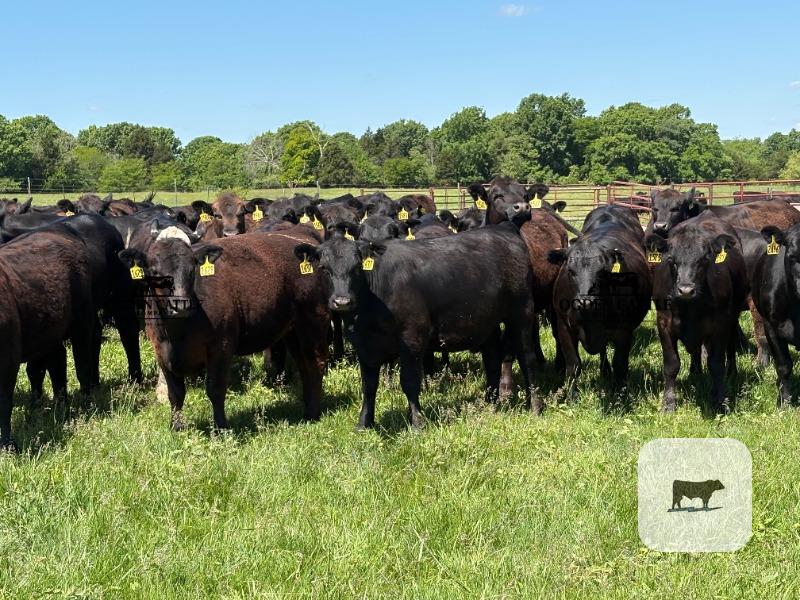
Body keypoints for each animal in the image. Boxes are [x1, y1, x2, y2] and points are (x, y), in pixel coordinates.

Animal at [118, 226, 330, 432]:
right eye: (155, 272)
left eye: (192, 268)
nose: (181, 305)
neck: (177, 333)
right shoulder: (161, 352)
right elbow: (175, 393)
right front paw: (177, 426)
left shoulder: (221, 347)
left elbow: (215, 389)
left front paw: (221, 428)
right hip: (293, 331)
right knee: (304, 366)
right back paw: (306, 406)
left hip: (314, 321)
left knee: (316, 364)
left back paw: (313, 413)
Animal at [293, 218, 542, 429]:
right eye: (324, 268)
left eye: (357, 267)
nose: (342, 301)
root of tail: (503, 228)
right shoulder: (364, 346)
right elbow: (368, 385)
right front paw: (364, 423)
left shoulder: (413, 337)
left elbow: (410, 381)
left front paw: (417, 423)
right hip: (486, 322)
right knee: (491, 358)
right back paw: (490, 402)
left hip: (522, 313)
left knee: (527, 359)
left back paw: (535, 407)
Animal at [646, 213, 749, 413]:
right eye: (671, 260)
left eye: (704, 259)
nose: (686, 290)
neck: (689, 309)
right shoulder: (663, 323)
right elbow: (671, 364)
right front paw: (668, 404)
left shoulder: (720, 325)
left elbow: (716, 364)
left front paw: (720, 401)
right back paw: (695, 373)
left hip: (733, 316)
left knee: (731, 345)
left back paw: (732, 373)